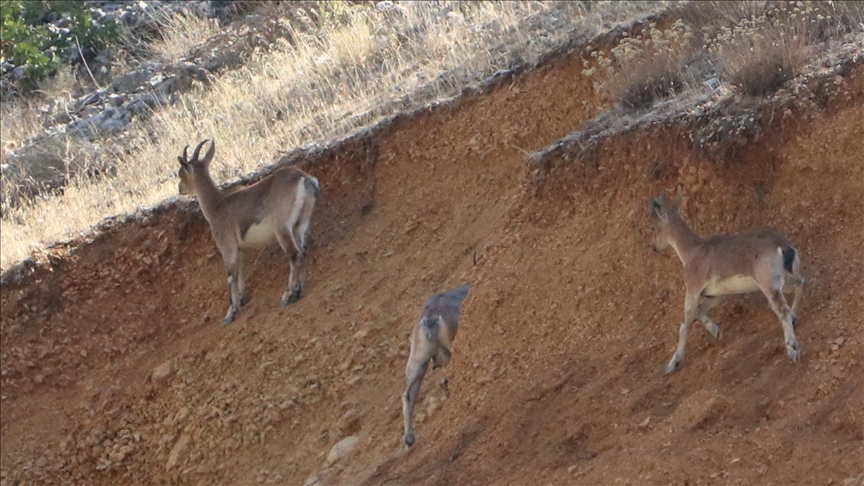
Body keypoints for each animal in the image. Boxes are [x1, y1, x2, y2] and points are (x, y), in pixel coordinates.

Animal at [176, 139, 320, 324]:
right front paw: (242, 299)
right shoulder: (242, 248)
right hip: (300, 225)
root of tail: (303, 178)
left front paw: (231, 313)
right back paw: (298, 291)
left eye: (181, 173)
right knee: (303, 252)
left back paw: (288, 295)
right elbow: (241, 271)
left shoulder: (228, 247)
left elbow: (231, 275)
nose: (180, 188)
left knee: (295, 255)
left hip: (282, 228)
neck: (217, 205)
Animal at [648, 188, 808, 374]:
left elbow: (686, 323)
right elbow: (699, 311)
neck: (691, 251)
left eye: (652, 227)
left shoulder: (693, 289)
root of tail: (783, 247)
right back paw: (795, 318)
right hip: (786, 279)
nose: (654, 247)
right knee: (801, 284)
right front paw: (716, 330)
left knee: (782, 309)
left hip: (769, 284)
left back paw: (792, 348)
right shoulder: (715, 295)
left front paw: (673, 363)